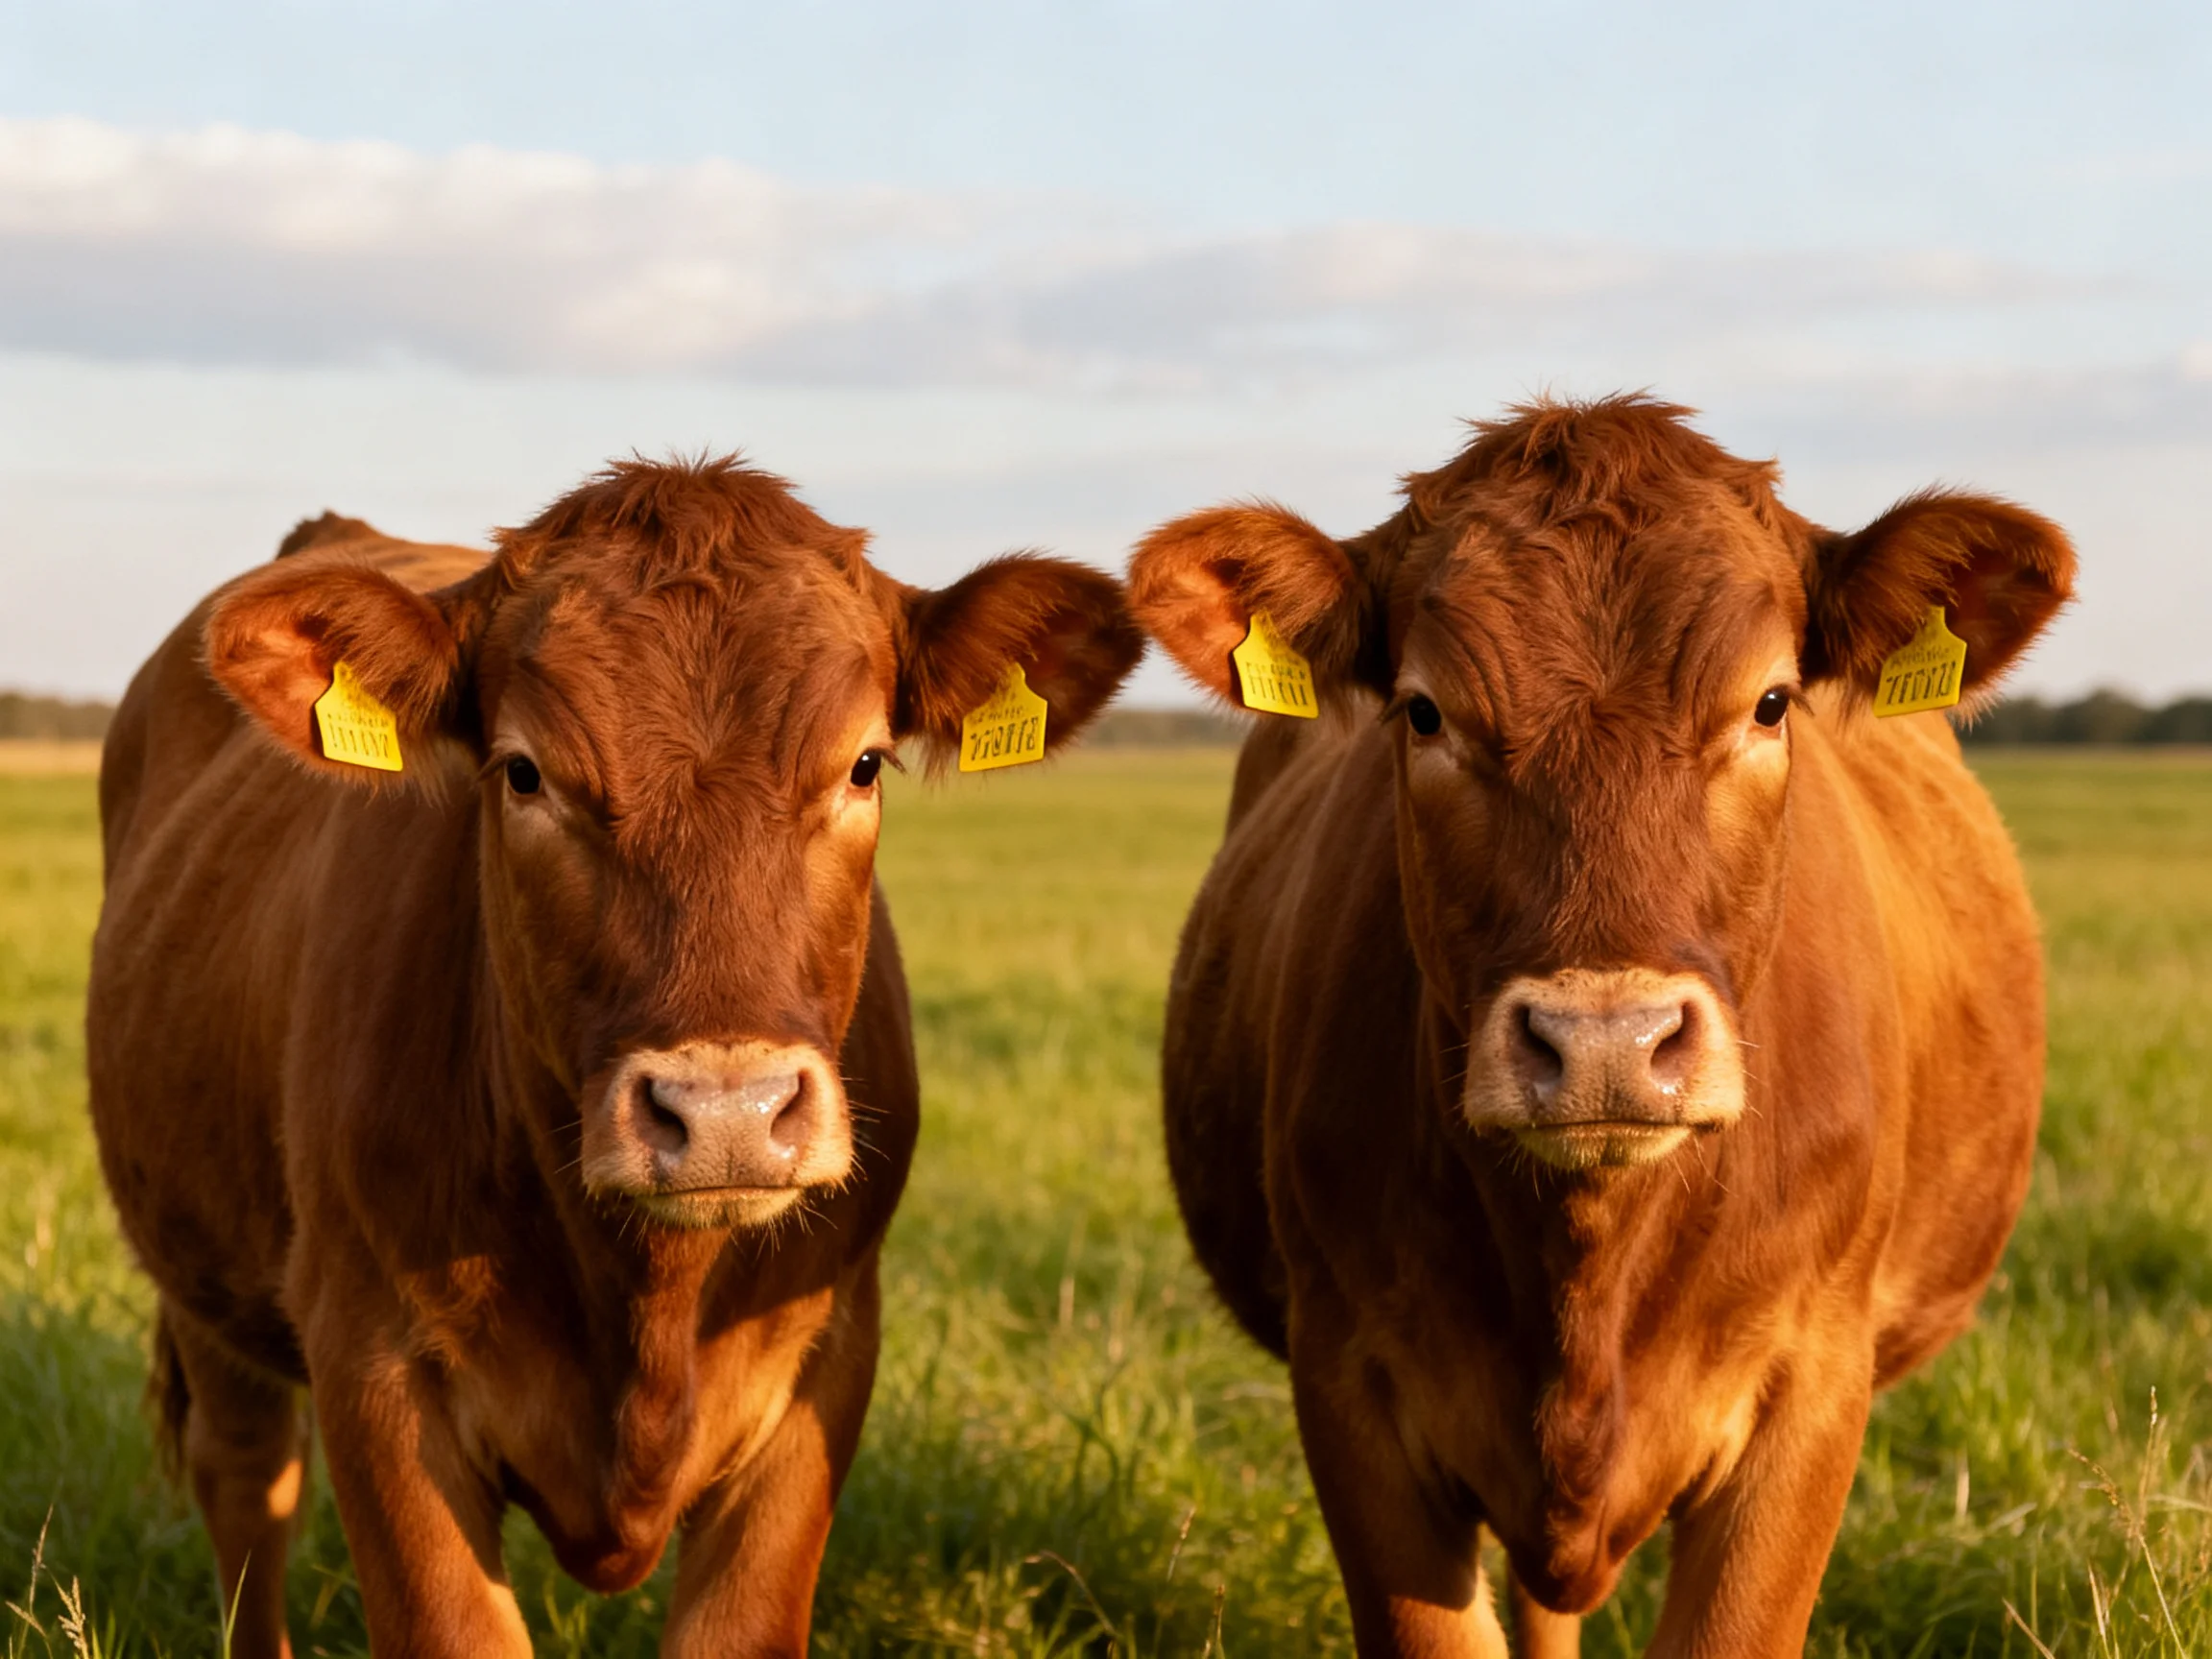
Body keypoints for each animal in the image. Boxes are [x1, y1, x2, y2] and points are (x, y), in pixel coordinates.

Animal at [86, 458, 1142, 1657]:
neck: (647, 1298)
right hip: (204, 1279)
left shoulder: (822, 1371)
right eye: (524, 773)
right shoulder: (374, 1366)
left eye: (865, 764)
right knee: (247, 1481)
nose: (726, 1111)